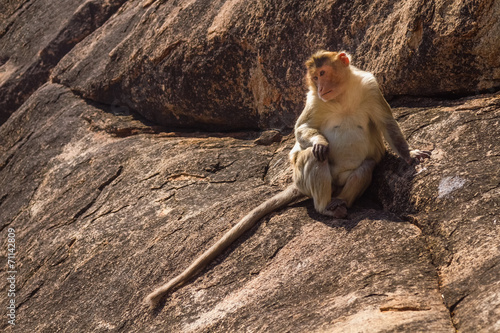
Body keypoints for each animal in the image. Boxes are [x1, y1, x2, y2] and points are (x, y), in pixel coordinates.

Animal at [145, 50, 430, 308]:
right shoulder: (314, 101)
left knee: (366, 166)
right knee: (315, 158)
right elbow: (302, 130)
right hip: (304, 178)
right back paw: (325, 206)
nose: (320, 86)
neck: (340, 97)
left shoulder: (370, 87)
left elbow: (387, 125)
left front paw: (410, 155)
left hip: (341, 179)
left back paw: (341, 203)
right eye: (314, 78)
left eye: (323, 73)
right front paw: (318, 141)